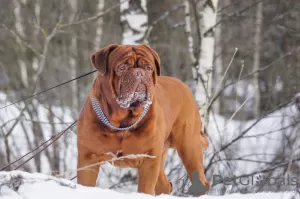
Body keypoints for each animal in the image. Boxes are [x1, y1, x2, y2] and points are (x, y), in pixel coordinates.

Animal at [77, 43, 209, 194]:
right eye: (122, 67)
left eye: (148, 68)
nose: (139, 73)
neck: (122, 122)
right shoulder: (88, 159)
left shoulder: (149, 160)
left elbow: (145, 189)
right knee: (164, 185)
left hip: (189, 147)